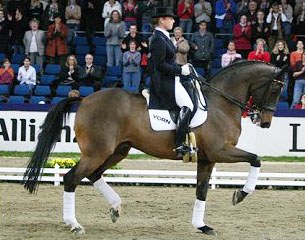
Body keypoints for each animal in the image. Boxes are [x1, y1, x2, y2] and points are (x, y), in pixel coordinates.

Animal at [23, 60, 284, 234]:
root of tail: (85, 98)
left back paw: (115, 209)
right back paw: (75, 224)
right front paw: (240, 194)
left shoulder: (207, 158)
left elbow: (201, 191)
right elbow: (256, 159)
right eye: (274, 89)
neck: (220, 104)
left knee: (93, 175)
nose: (266, 122)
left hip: (117, 151)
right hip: (97, 152)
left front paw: (201, 226)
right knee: (71, 179)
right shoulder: (220, 150)